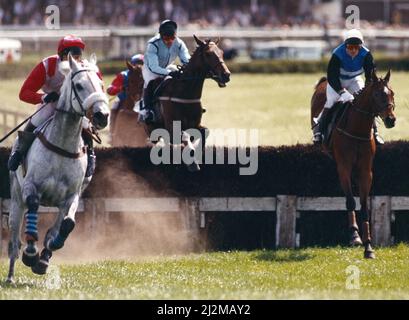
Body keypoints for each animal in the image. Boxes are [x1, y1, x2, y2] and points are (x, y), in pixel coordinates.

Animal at [6, 55, 108, 282]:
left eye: (101, 85)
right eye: (79, 85)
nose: (102, 116)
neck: (63, 146)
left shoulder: (71, 197)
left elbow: (67, 225)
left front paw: (45, 255)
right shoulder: (31, 187)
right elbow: (33, 205)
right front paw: (31, 253)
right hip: (16, 199)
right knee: (14, 241)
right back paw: (10, 275)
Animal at [143, 34, 230, 171]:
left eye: (221, 52)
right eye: (208, 54)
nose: (226, 75)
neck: (185, 93)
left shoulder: (194, 124)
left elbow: (205, 132)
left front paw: (196, 156)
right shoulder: (172, 128)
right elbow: (184, 136)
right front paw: (192, 162)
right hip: (152, 131)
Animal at [310, 69, 394, 258]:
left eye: (392, 93)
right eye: (377, 95)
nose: (391, 120)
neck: (357, 129)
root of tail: (323, 82)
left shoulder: (366, 170)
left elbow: (364, 206)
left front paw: (368, 247)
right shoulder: (343, 167)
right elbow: (350, 201)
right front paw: (355, 236)